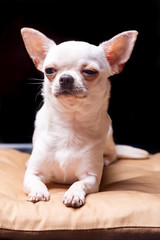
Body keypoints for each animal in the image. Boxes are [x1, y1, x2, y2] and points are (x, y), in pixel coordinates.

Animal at [21, 28, 149, 207]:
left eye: (89, 72)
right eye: (49, 71)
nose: (66, 78)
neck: (70, 123)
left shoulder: (91, 178)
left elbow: (78, 183)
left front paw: (73, 194)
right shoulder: (33, 174)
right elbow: (35, 181)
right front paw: (38, 192)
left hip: (109, 136)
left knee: (114, 154)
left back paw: (106, 160)